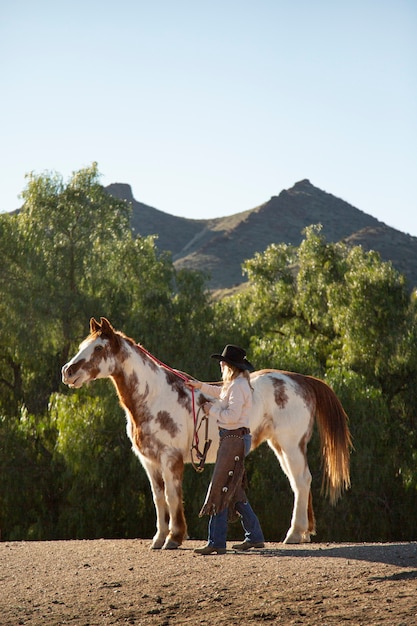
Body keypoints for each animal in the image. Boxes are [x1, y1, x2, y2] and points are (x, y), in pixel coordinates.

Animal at [60, 316, 350, 544]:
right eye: (82, 346)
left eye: (98, 348)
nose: (67, 371)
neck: (154, 396)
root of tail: (301, 380)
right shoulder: (150, 462)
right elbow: (158, 499)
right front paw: (158, 538)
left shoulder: (170, 459)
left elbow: (173, 496)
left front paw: (174, 537)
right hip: (280, 447)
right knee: (297, 482)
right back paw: (303, 532)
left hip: (290, 445)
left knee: (301, 481)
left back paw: (294, 534)